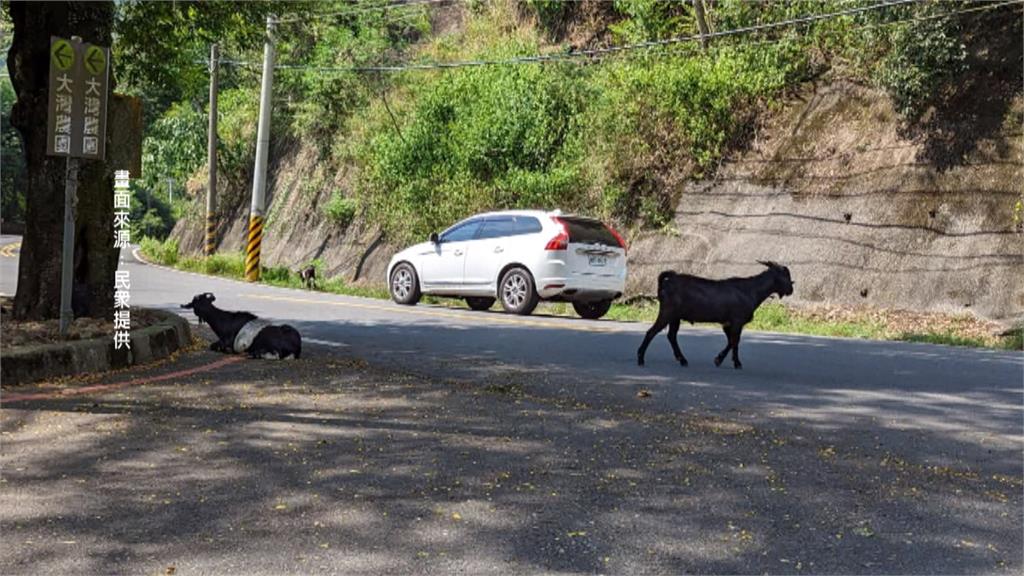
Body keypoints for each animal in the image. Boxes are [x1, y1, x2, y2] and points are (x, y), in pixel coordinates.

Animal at [634, 260, 794, 366]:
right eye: (786, 275)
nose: (791, 290)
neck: (751, 290)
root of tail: (667, 282)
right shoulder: (737, 321)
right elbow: (734, 341)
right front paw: (732, 362)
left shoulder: (728, 323)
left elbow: (731, 341)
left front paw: (723, 360)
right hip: (667, 312)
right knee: (652, 332)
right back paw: (641, 358)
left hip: (675, 316)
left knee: (671, 336)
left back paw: (682, 360)